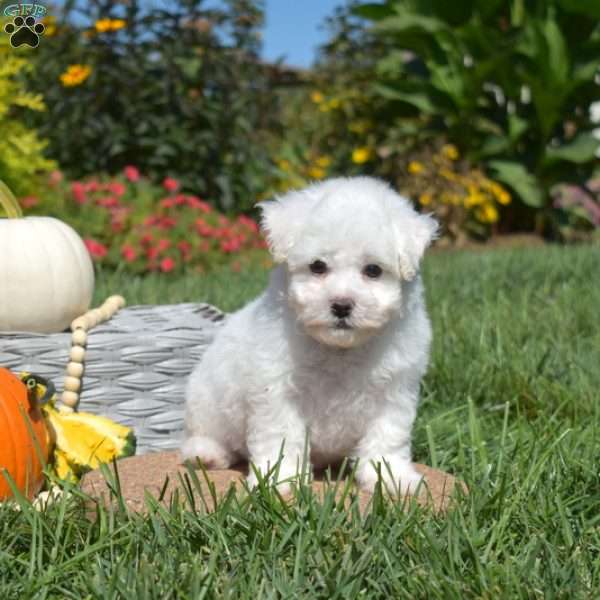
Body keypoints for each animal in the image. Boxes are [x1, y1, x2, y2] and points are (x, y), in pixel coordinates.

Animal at [182, 177, 436, 492]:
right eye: (317, 266)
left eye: (373, 270)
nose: (341, 305)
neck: (340, 349)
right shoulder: (277, 390)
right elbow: (282, 435)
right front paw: (279, 479)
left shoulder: (394, 390)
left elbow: (387, 436)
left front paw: (391, 477)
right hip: (205, 399)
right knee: (205, 434)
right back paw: (205, 454)